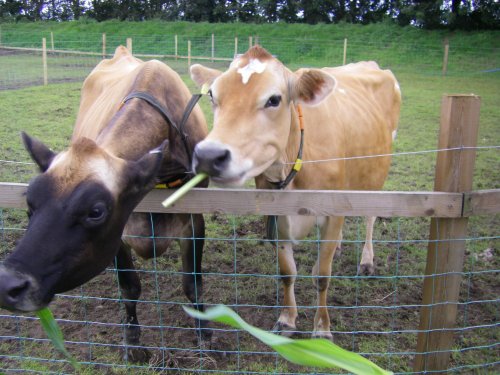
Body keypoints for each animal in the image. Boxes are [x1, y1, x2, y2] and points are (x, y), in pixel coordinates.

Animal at [0, 47, 209, 362]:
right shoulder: (119, 236)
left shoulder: (194, 219)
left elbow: (192, 285)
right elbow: (129, 287)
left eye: (95, 212)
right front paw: (133, 343)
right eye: (30, 204)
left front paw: (205, 337)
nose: (8, 284)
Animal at [189, 45, 400, 340]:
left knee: (369, 218)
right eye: (212, 95)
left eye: (274, 99)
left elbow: (322, 275)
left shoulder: (332, 213)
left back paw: (367, 261)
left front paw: (322, 328)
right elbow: (287, 272)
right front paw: (287, 319)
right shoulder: (276, 216)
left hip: (376, 175)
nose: (209, 156)